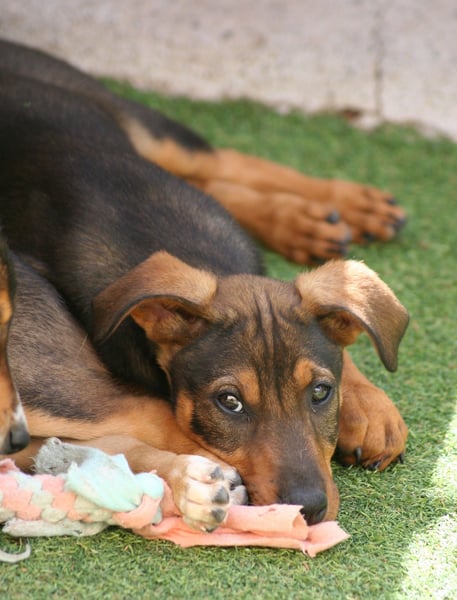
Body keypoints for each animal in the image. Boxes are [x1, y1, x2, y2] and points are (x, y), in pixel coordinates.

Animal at [0, 44, 409, 530]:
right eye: (229, 402)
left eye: (320, 392)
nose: (308, 509)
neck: (200, 257)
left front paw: (369, 406)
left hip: (144, 128)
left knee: (223, 162)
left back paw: (335, 210)